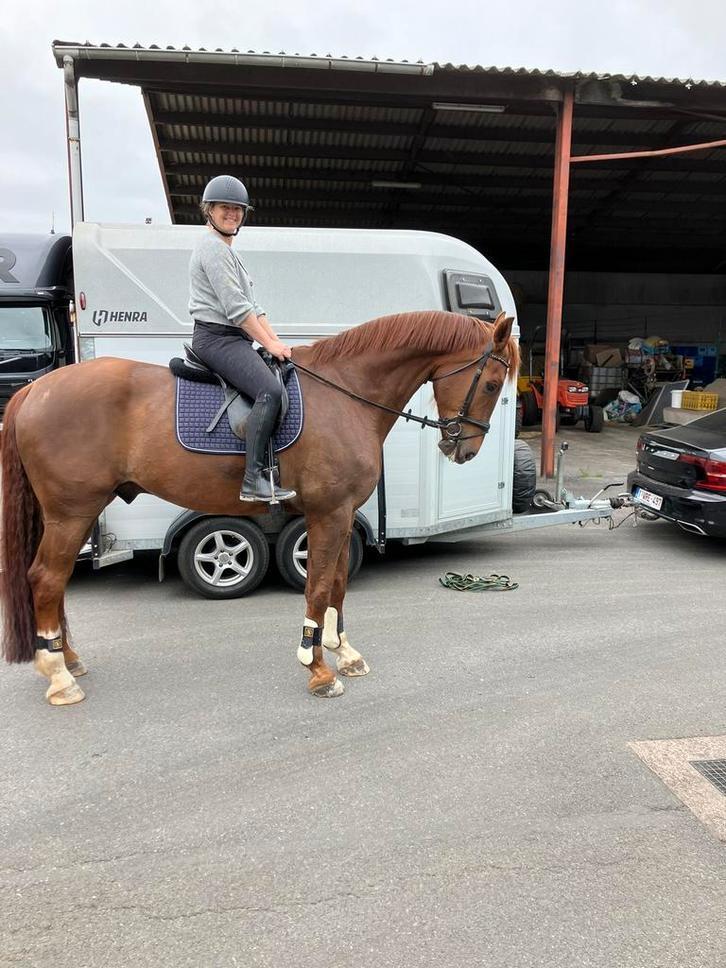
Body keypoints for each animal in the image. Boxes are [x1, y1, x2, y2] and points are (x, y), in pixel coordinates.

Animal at [1, 309, 517, 706]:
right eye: (493, 383)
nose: (464, 449)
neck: (344, 393)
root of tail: (35, 390)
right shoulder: (328, 513)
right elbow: (317, 588)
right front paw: (317, 668)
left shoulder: (340, 513)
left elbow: (336, 586)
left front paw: (344, 654)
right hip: (71, 513)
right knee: (46, 579)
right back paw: (58, 676)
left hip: (72, 514)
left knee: (54, 583)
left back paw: (68, 660)